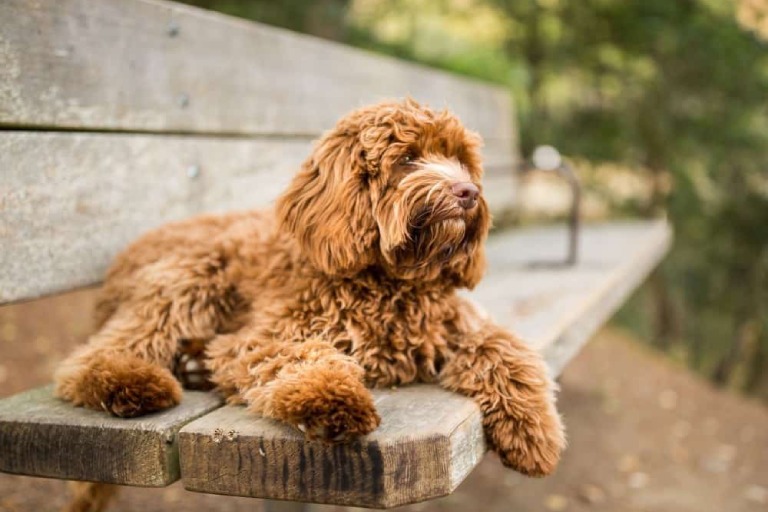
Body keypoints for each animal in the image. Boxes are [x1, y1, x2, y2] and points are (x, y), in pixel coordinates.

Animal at [54, 99, 564, 480]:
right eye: (407, 159)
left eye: (461, 160)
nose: (468, 193)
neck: (390, 282)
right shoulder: (267, 335)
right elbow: (301, 357)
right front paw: (334, 400)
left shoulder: (457, 327)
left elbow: (506, 352)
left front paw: (535, 431)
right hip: (191, 273)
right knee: (93, 356)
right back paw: (131, 381)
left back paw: (193, 364)